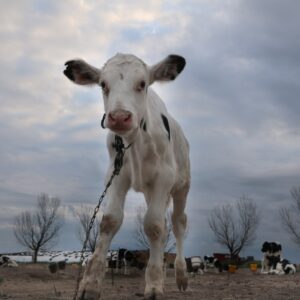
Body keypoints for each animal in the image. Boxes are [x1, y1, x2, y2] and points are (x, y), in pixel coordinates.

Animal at [63, 54, 190, 300]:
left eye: (142, 83)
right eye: (103, 85)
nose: (119, 117)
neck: (135, 141)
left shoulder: (164, 178)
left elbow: (153, 225)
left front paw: (154, 286)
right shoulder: (116, 175)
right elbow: (110, 220)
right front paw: (90, 285)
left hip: (181, 186)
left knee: (178, 224)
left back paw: (181, 276)